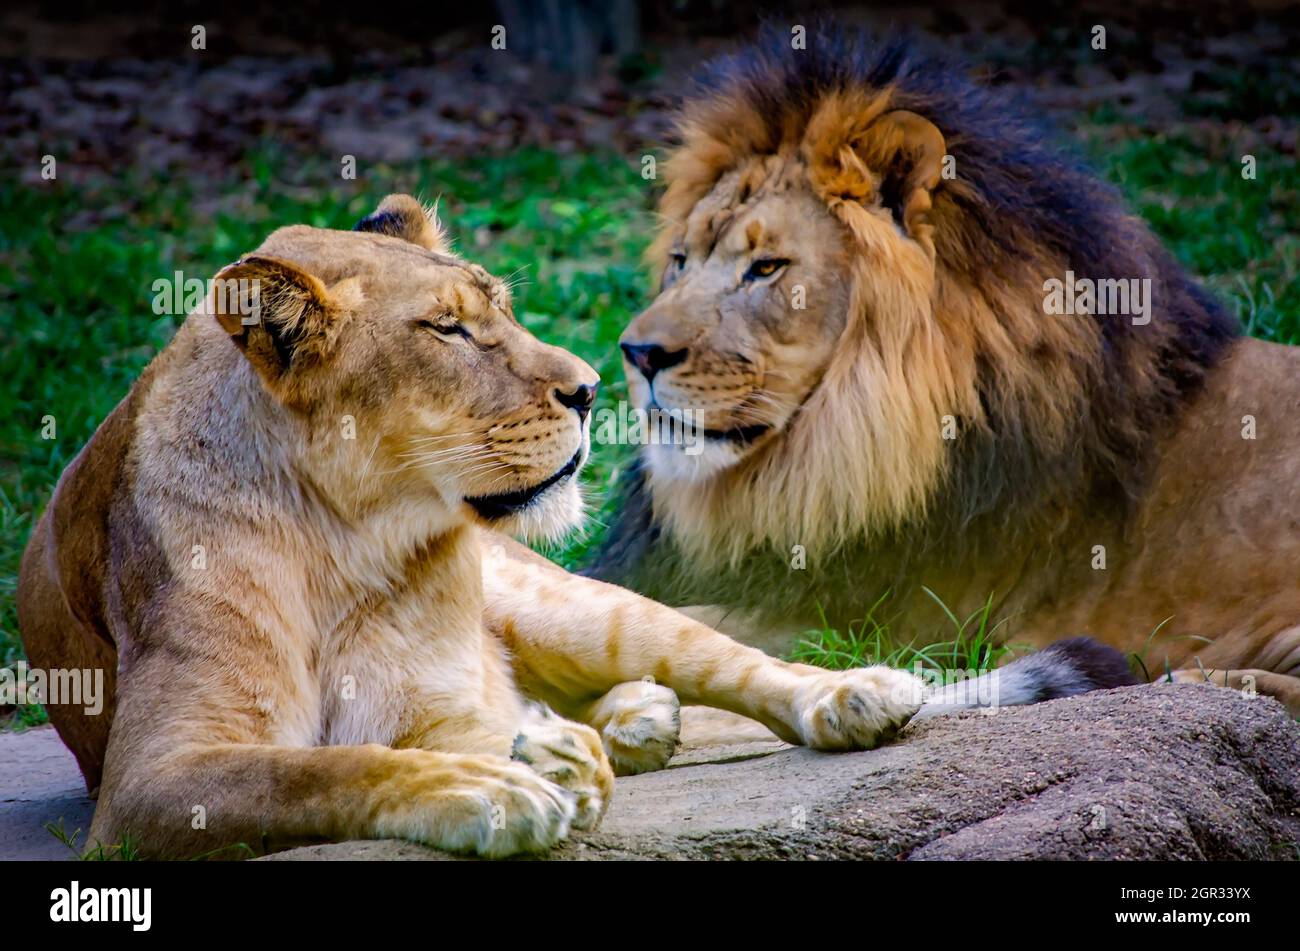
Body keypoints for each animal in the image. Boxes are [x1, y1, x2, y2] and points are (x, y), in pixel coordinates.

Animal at [15, 194, 920, 862]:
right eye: (446, 329)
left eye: (504, 310)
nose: (594, 388)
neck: (343, 537)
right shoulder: (147, 783)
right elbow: (316, 770)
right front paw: (495, 786)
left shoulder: (438, 703)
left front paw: (551, 759)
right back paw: (634, 718)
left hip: (575, 609)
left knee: (731, 661)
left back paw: (851, 695)